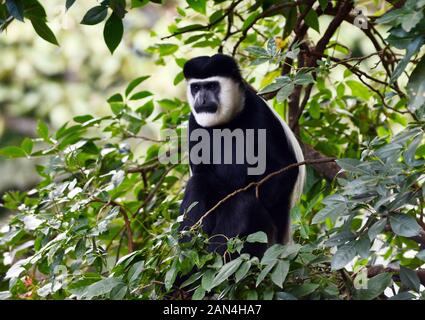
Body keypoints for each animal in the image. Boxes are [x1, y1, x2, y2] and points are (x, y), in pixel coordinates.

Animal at [179, 53, 304, 256]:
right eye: (196, 87)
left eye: (212, 86)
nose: (201, 99)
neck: (227, 122)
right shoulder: (195, 122)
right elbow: (201, 173)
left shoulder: (259, 112)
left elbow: (284, 168)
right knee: (199, 183)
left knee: (244, 205)